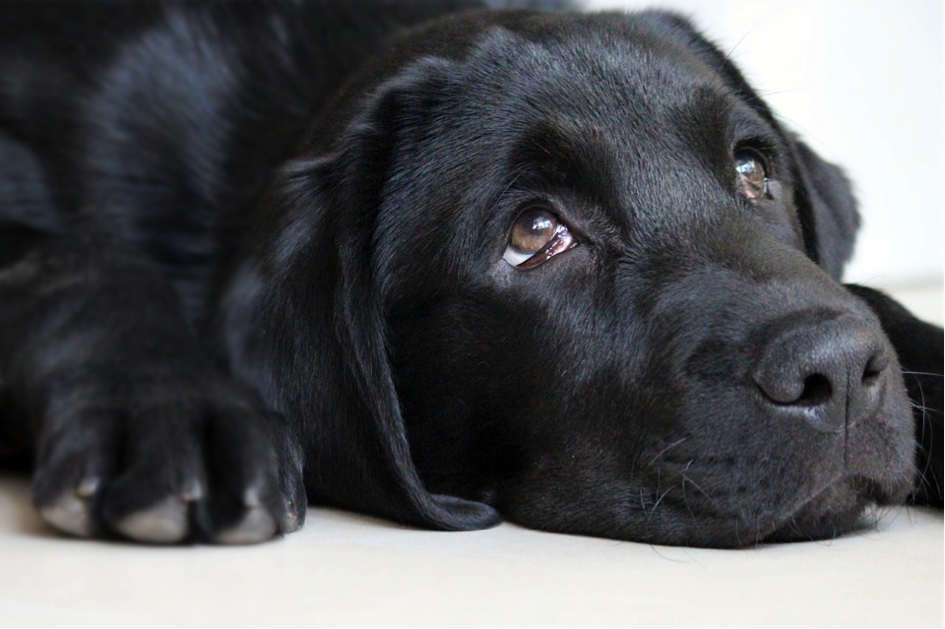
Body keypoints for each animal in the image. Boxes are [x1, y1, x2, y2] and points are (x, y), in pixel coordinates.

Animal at [0, 2, 940, 548]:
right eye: (534, 232)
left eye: (753, 169)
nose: (837, 373)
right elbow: (73, 255)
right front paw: (167, 404)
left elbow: (874, 301)